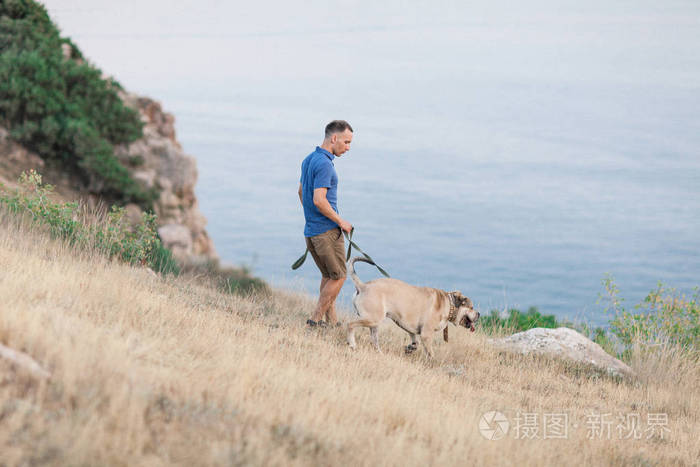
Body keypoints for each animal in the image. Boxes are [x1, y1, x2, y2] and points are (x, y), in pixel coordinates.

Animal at [346, 258, 478, 356]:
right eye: (471, 307)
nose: (479, 314)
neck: (449, 304)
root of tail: (362, 286)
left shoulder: (411, 329)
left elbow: (416, 342)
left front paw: (410, 348)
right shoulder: (426, 334)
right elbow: (430, 352)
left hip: (374, 323)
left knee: (374, 339)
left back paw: (379, 353)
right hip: (373, 319)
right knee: (351, 324)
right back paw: (352, 344)